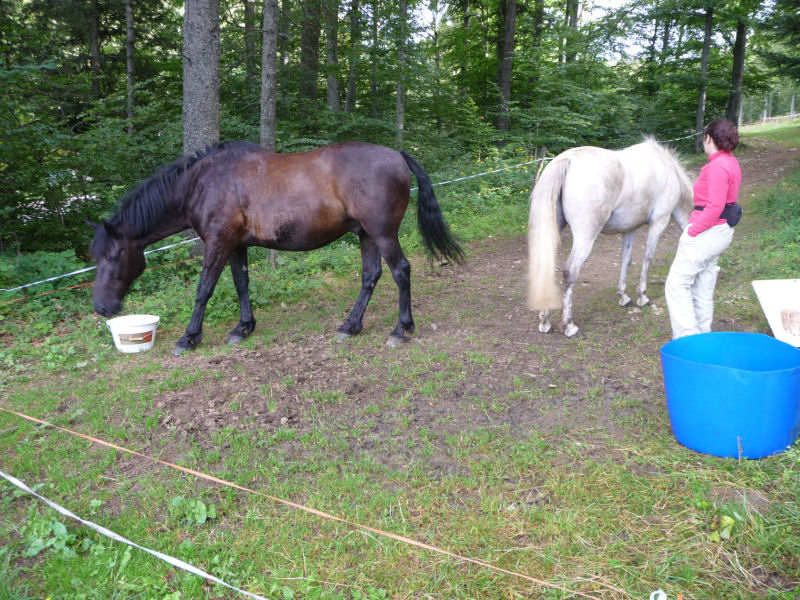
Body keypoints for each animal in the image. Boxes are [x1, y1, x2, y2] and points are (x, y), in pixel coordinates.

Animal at [89, 140, 462, 354]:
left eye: (114, 255)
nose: (102, 307)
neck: (203, 182)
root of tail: (397, 155)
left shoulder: (217, 243)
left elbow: (203, 290)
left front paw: (189, 337)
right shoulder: (235, 245)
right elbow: (241, 283)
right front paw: (243, 328)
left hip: (382, 234)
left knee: (401, 271)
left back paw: (400, 329)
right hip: (366, 234)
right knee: (370, 276)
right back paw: (350, 326)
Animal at [528, 141, 692, 338]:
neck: (669, 170)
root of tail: (566, 160)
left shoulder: (630, 229)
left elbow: (626, 260)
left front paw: (624, 296)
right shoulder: (659, 222)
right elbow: (648, 258)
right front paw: (642, 297)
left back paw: (545, 322)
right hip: (585, 238)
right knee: (569, 272)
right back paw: (569, 326)